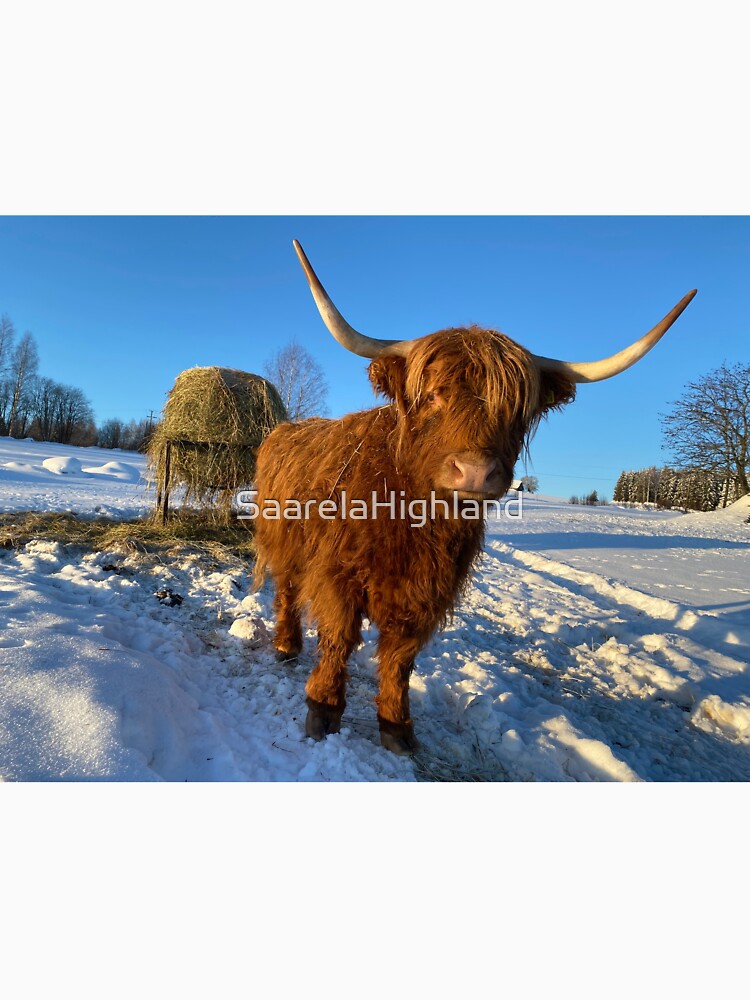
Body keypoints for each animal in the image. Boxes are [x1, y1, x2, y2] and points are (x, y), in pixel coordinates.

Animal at [252, 241, 696, 754]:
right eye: (432, 396)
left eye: (516, 409)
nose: (477, 472)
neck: (412, 518)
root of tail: (286, 427)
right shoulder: (338, 574)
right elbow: (338, 639)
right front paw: (322, 710)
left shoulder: (428, 594)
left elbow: (399, 659)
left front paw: (397, 728)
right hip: (283, 543)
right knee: (285, 590)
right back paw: (286, 646)